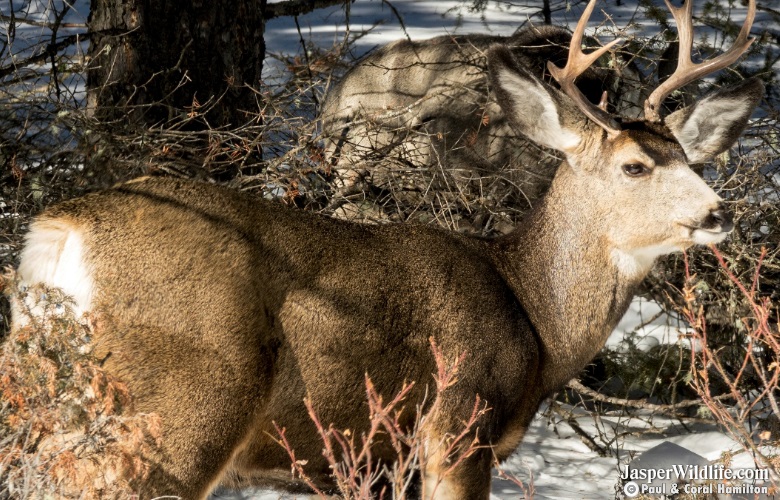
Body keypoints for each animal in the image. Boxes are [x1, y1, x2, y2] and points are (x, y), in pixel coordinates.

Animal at [8, 0, 761, 498]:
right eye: (636, 166)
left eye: (691, 159)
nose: (718, 212)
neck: (534, 318)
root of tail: (62, 232)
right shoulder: (455, 428)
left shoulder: (379, 459)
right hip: (180, 406)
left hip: (49, 403)